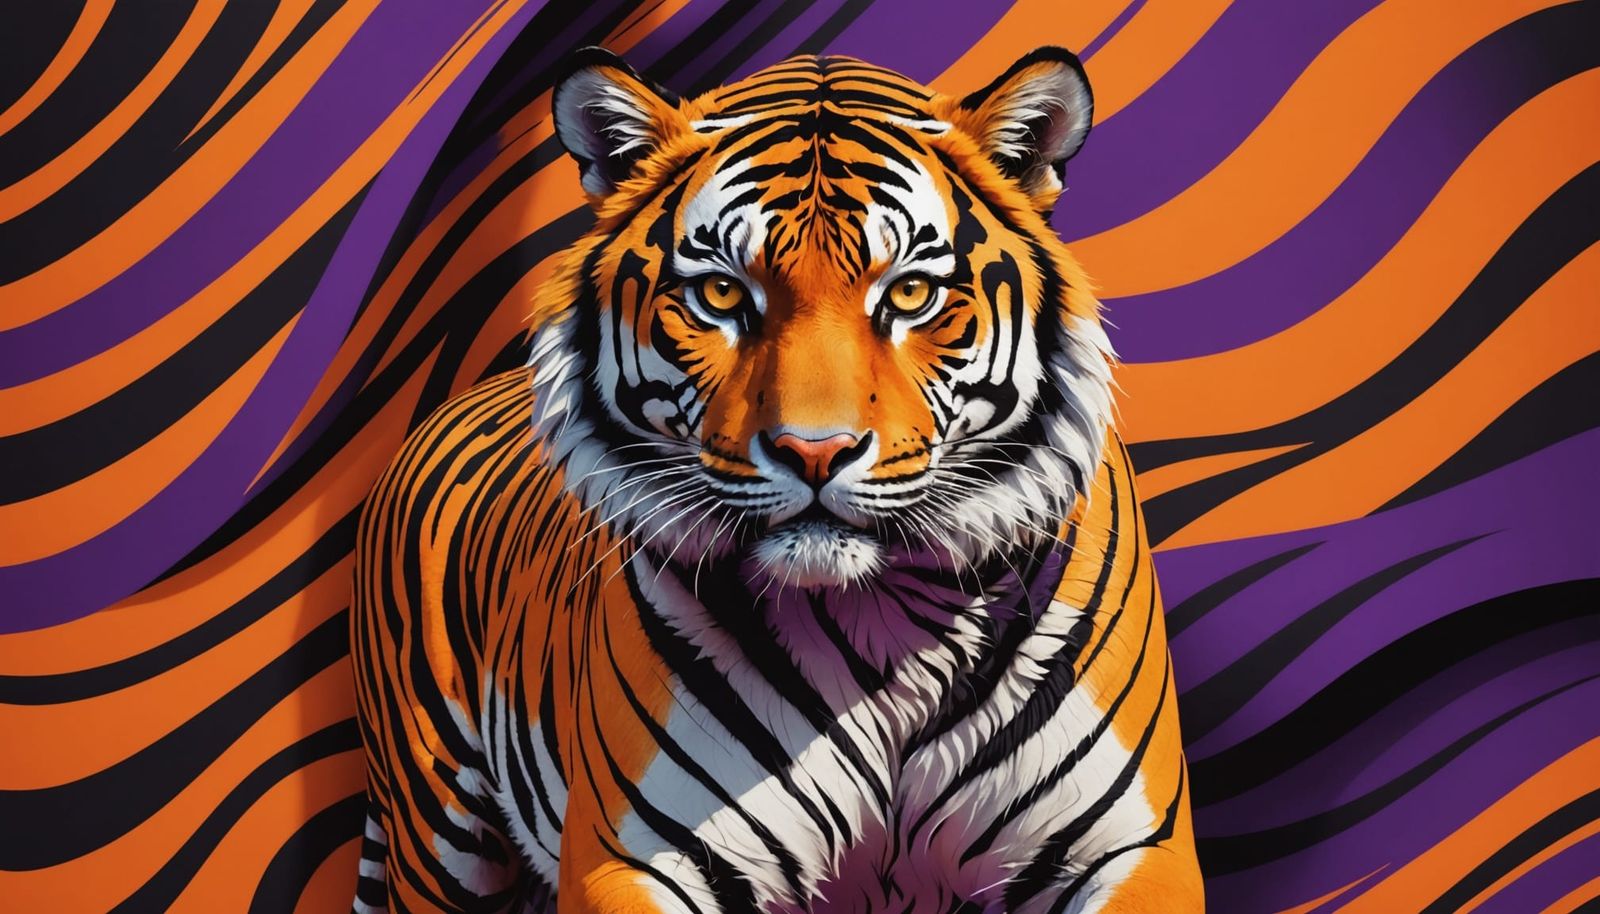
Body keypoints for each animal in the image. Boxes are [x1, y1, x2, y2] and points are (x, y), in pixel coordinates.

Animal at [350, 45, 1204, 914]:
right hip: (436, 824)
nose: (815, 451)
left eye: (910, 292)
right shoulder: (635, 856)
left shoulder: (1126, 847)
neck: (882, 620)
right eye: (723, 292)